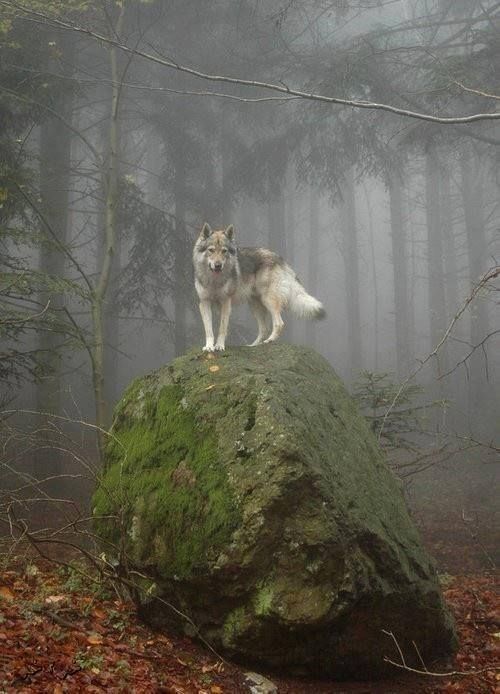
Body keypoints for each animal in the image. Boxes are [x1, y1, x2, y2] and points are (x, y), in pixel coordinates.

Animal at [193, 223, 325, 352]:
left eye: (224, 251)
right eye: (211, 250)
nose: (218, 265)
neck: (214, 280)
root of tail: (279, 258)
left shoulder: (226, 302)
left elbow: (222, 328)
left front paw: (219, 346)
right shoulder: (204, 303)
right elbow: (208, 329)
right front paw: (209, 347)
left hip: (268, 300)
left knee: (279, 323)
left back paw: (269, 341)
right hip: (255, 306)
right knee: (264, 329)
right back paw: (254, 346)